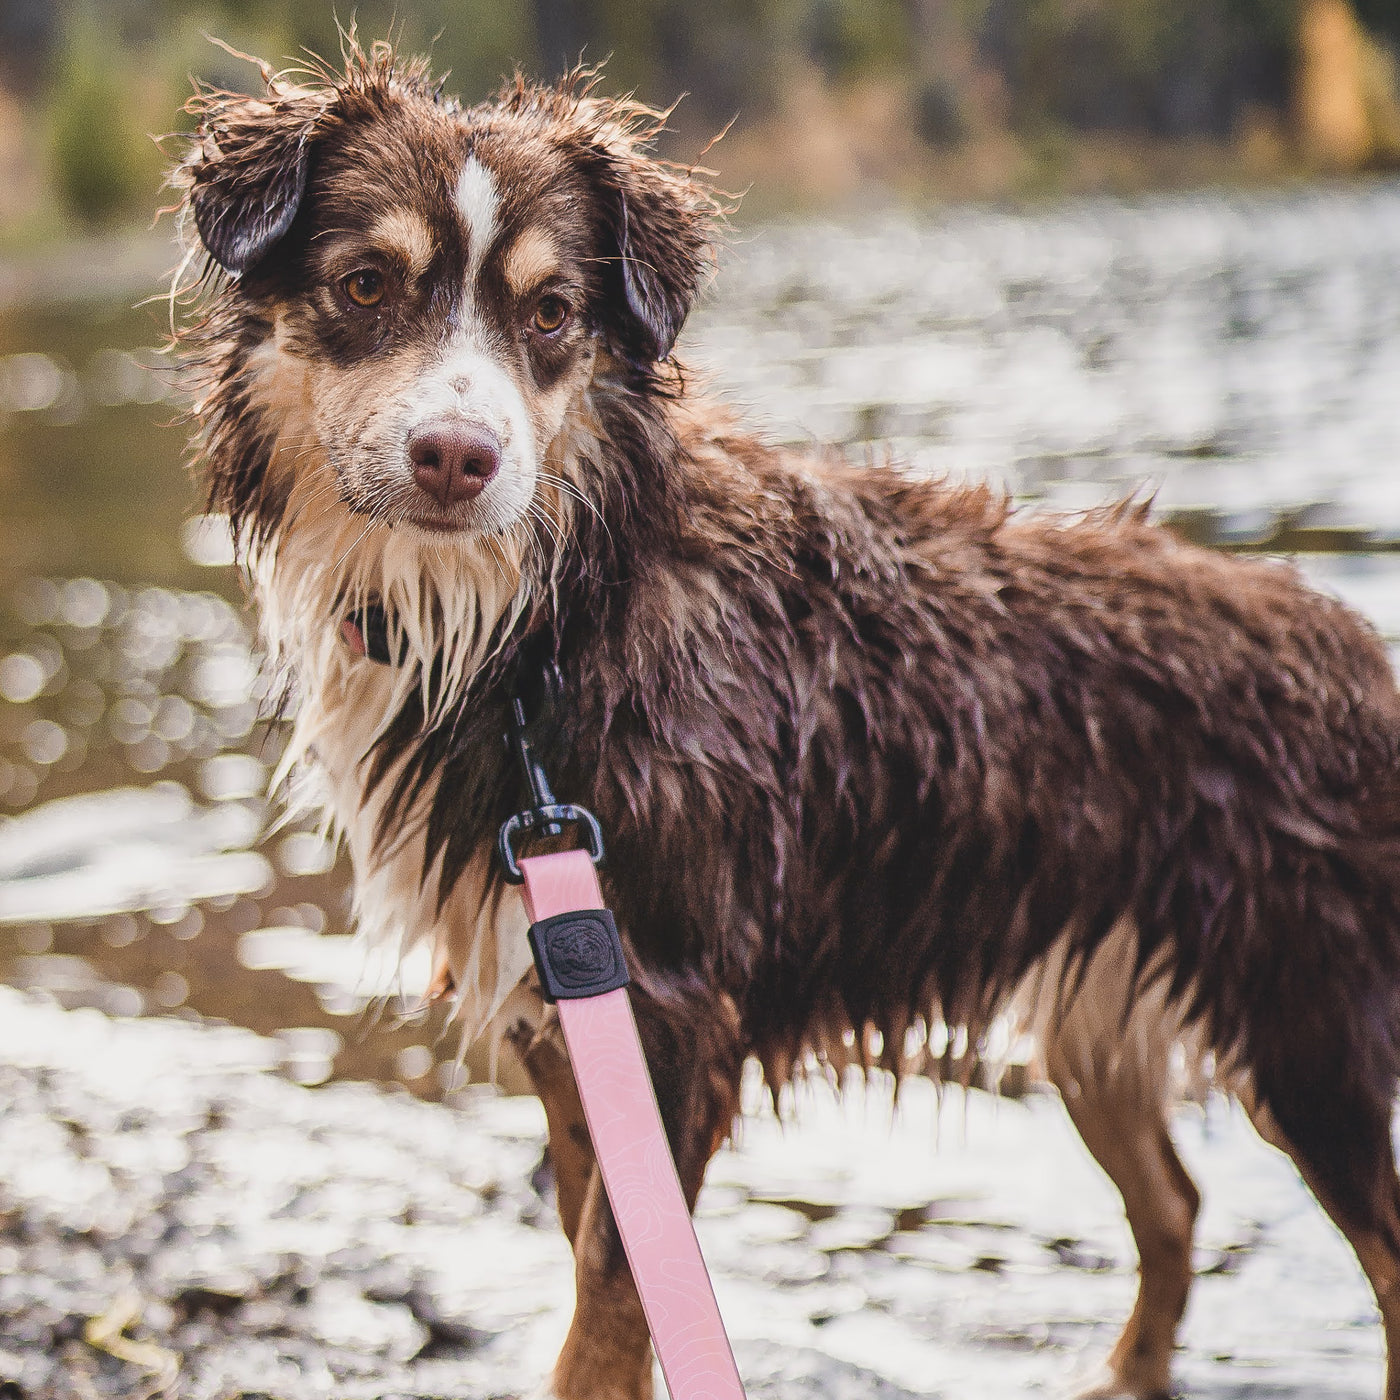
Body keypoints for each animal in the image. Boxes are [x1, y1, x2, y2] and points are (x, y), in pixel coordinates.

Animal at [177, 40, 1400, 1400]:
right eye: (364, 283)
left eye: (550, 315)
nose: (457, 455)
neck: (540, 626)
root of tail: (1359, 652)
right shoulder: (568, 1002)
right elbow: (614, 1285)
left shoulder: (669, 1006)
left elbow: (609, 1299)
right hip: (1097, 1013)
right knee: (1174, 1203)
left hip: (1303, 1021)